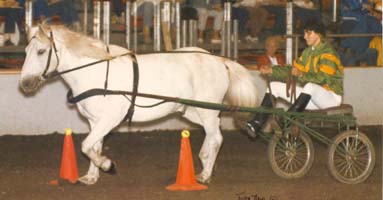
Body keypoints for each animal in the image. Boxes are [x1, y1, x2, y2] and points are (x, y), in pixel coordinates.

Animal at [21, 25, 260, 186]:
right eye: (25, 51)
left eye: (41, 51)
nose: (25, 84)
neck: (94, 72)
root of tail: (220, 60)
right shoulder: (95, 121)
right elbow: (93, 146)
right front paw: (90, 177)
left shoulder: (110, 119)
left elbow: (86, 145)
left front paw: (108, 165)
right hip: (192, 110)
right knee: (212, 134)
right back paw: (203, 161)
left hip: (206, 109)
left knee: (216, 137)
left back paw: (205, 175)